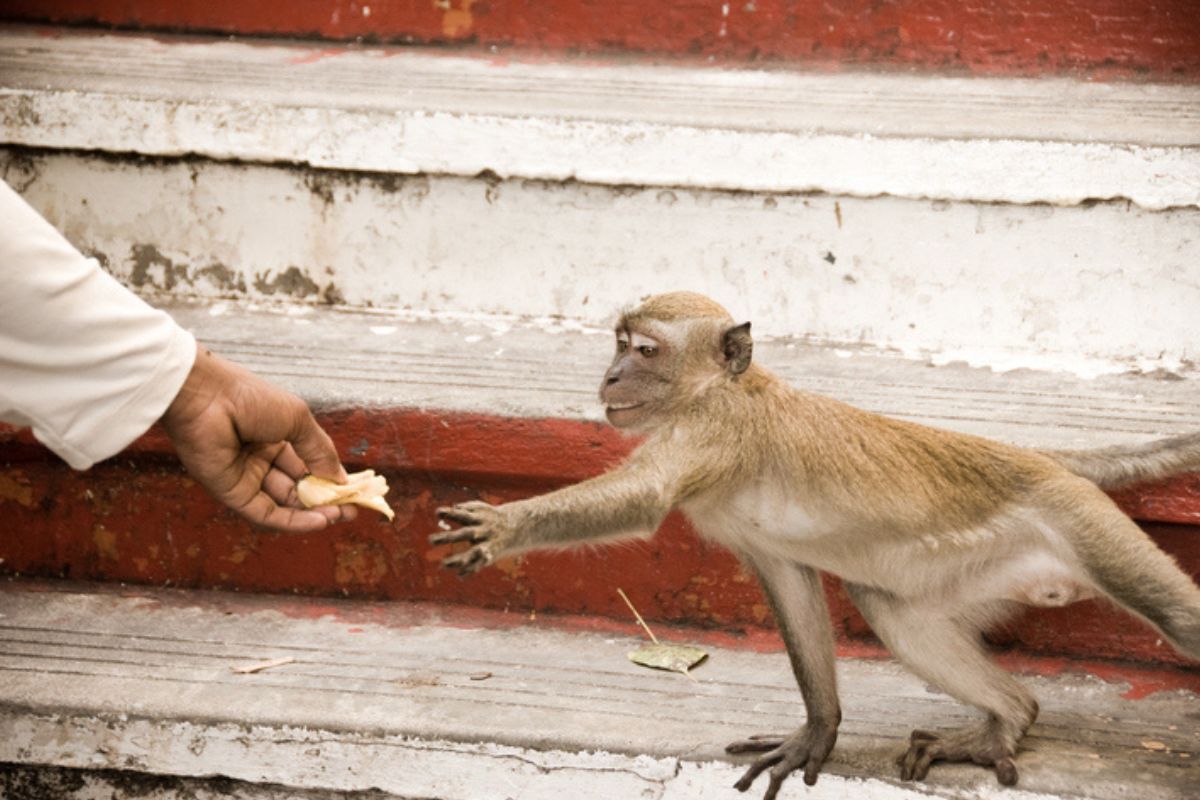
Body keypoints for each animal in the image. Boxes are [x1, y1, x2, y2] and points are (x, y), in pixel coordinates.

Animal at [432, 293, 1200, 800]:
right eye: (616, 344)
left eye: (643, 350)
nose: (612, 377)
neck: (717, 389)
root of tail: (1040, 460)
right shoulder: (756, 534)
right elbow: (791, 588)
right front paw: (818, 729)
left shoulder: (712, 433)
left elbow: (643, 499)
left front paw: (504, 527)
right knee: (893, 610)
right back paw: (1007, 721)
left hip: (1081, 522)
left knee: (1183, 619)